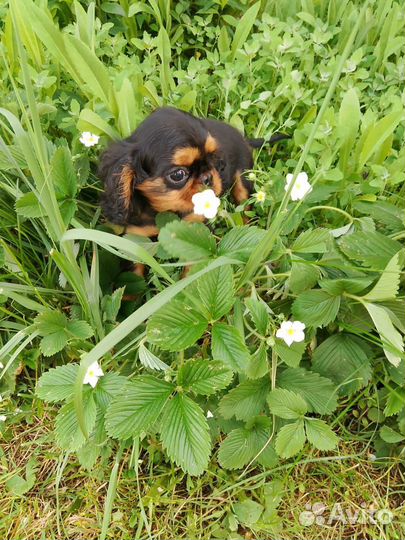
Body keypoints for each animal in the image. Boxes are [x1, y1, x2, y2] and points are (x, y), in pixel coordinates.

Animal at [99, 107, 286, 236]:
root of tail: (243, 138)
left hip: (244, 178)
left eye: (213, 158)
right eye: (178, 175)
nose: (208, 178)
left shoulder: (197, 226)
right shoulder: (136, 237)